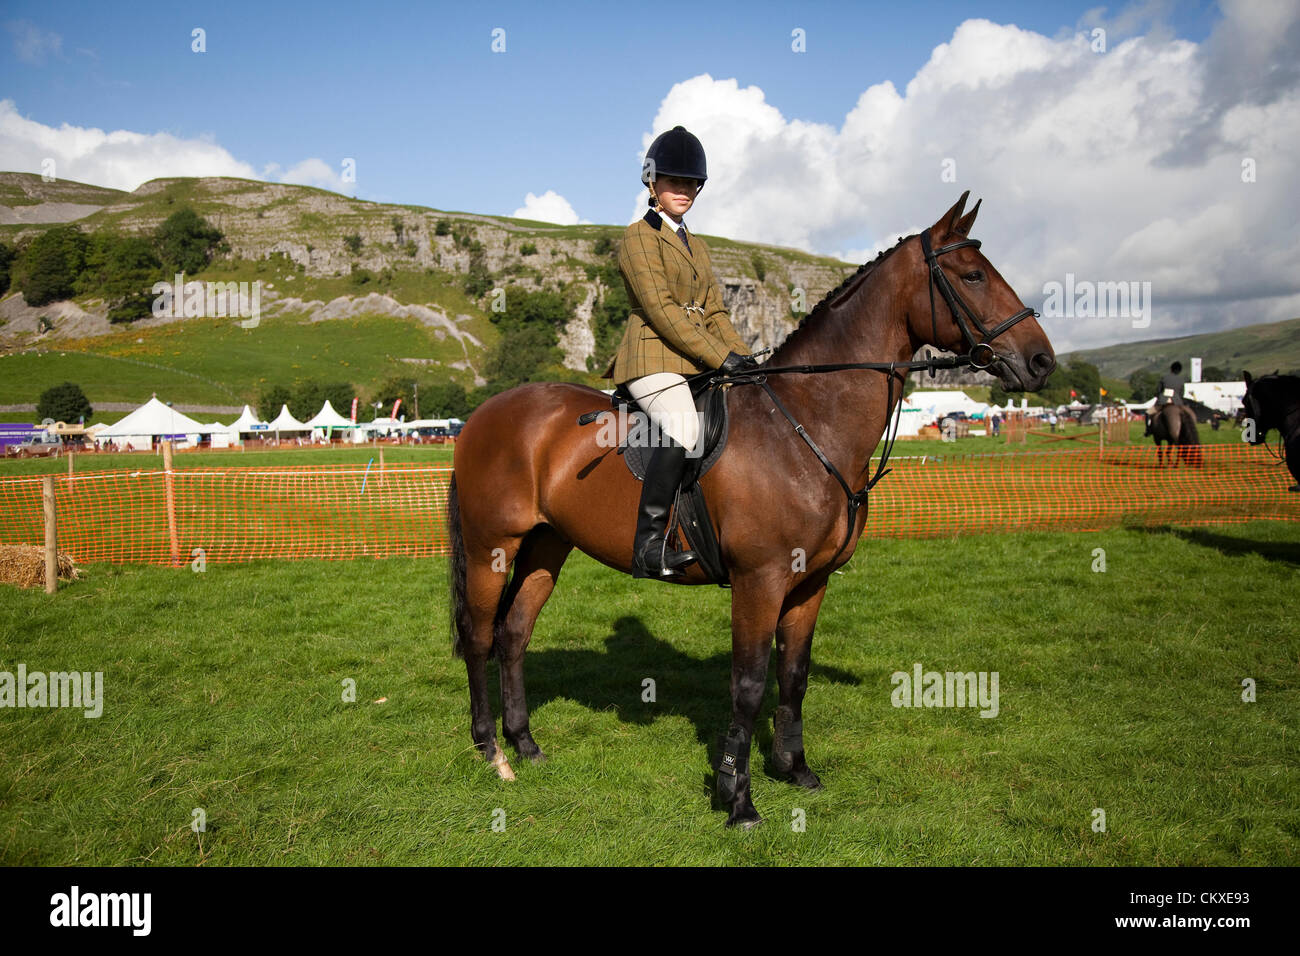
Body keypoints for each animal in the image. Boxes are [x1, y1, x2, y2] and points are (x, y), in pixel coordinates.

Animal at [447, 195, 1055, 832]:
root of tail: (483, 414)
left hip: (546, 545)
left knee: (514, 633)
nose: (1041, 361)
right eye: (972, 275)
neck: (807, 422)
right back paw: (491, 750)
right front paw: (736, 799)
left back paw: (526, 744)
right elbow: (747, 682)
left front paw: (793, 769)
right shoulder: (759, 579)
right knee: (480, 635)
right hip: (492, 547)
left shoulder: (811, 581)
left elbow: (793, 675)